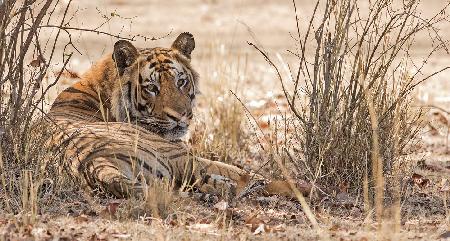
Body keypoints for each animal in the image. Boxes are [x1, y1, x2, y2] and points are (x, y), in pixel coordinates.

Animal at [48, 33, 310, 201]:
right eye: (152, 88)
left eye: (181, 82)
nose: (180, 115)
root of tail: (94, 162)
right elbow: (244, 171)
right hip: (178, 155)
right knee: (250, 179)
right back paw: (304, 187)